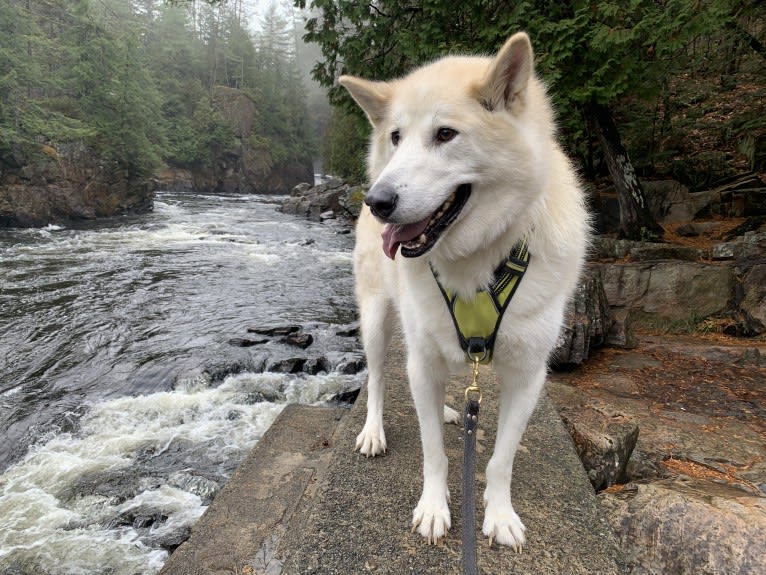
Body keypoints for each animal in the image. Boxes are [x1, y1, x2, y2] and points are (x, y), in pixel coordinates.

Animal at [340, 32, 588, 552]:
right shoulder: (422, 358)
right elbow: (434, 451)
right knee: (377, 379)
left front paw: (500, 515)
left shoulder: (527, 375)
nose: (377, 202)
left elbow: (500, 460)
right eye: (396, 137)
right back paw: (374, 431)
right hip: (376, 319)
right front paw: (435, 509)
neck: (478, 258)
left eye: (445, 135)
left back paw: (451, 410)